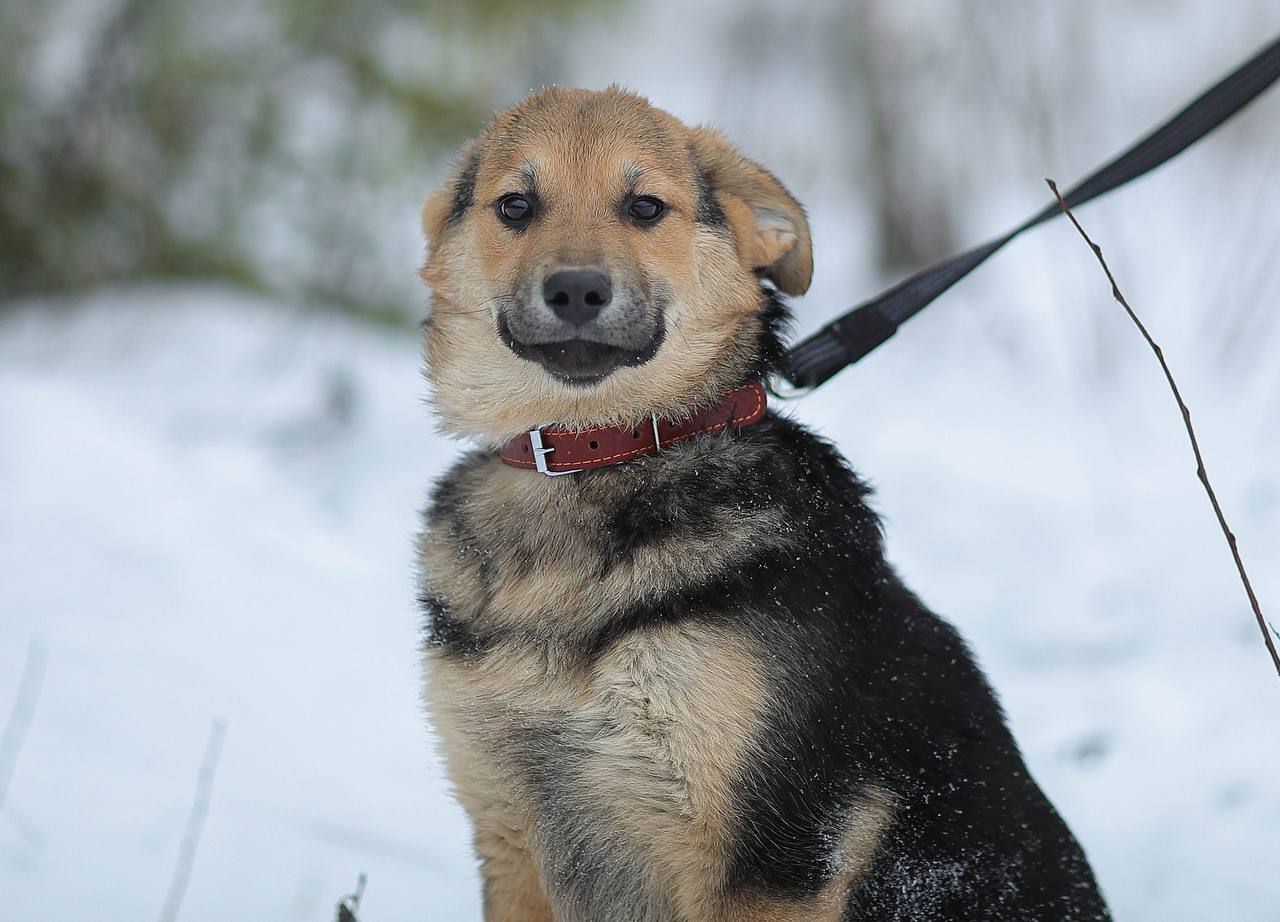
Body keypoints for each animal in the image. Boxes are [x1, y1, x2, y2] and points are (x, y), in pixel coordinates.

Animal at [417, 88, 1111, 922]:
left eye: (645, 207)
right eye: (515, 206)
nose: (577, 290)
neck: (601, 453)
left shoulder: (769, 861)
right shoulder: (509, 835)